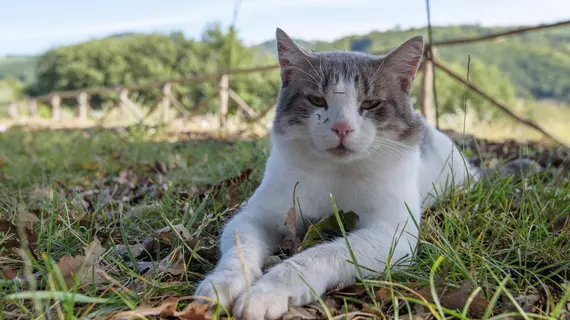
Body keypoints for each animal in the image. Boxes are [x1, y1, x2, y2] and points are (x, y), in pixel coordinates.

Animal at [194, 28, 484, 318]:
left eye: (371, 103)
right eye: (316, 100)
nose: (342, 127)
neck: (335, 171)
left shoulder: (391, 234)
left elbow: (318, 256)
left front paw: (266, 292)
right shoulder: (253, 217)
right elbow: (239, 248)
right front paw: (221, 284)